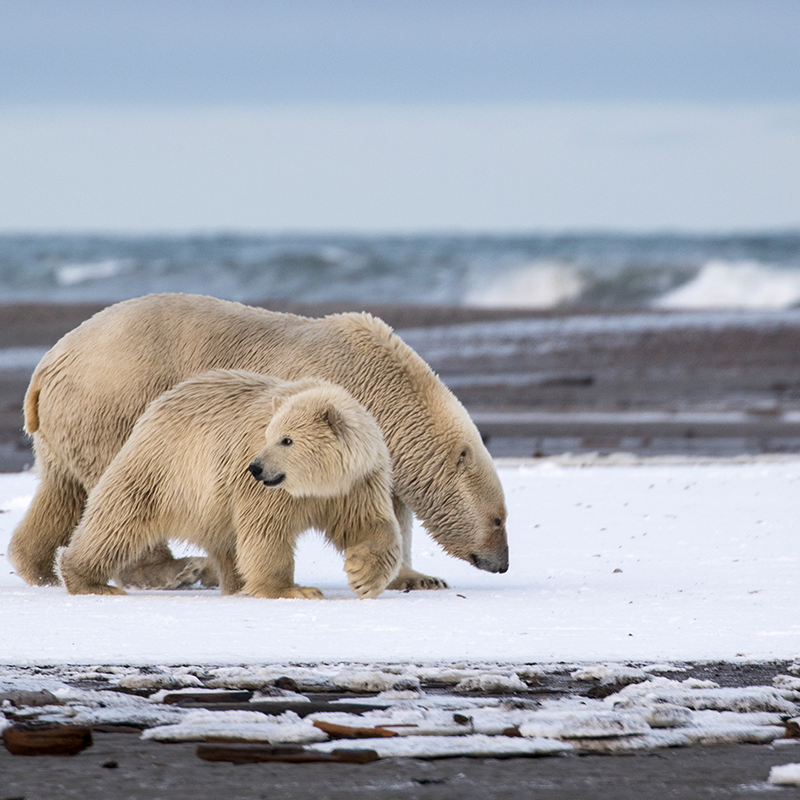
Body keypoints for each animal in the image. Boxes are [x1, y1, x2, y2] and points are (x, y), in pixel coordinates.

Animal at [57, 372, 400, 596]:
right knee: (116, 522)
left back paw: (235, 585)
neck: (319, 484)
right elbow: (266, 530)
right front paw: (293, 590)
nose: (256, 468)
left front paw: (362, 575)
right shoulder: (268, 493)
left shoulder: (357, 484)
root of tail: (157, 405)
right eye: (268, 435)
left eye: (287, 440)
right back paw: (88, 581)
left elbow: (369, 524)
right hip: (166, 469)